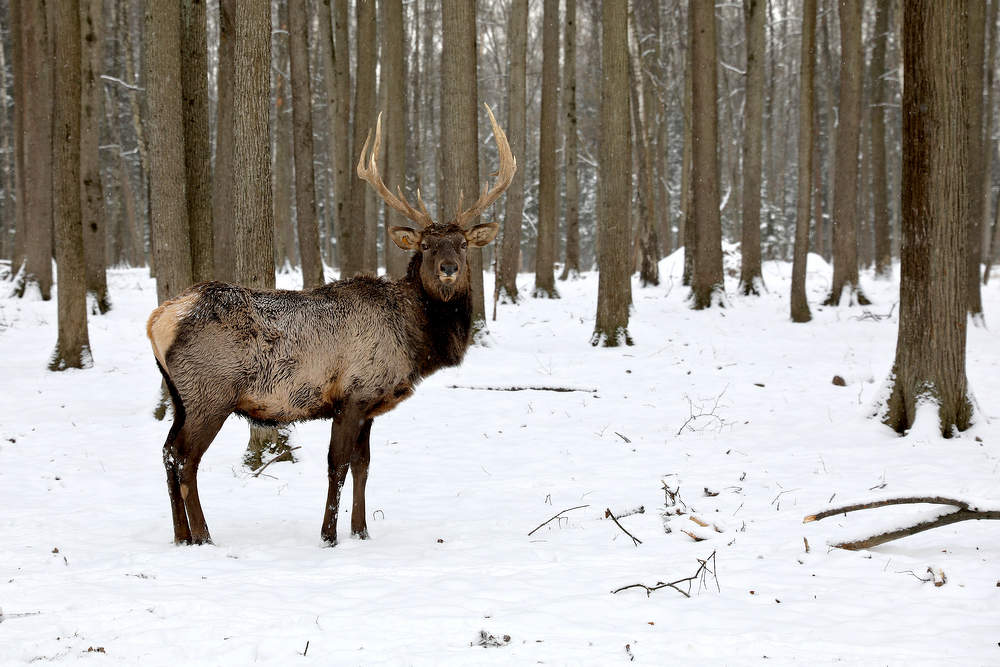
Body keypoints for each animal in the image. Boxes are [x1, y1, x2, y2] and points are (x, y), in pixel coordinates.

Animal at [147, 104, 515, 546]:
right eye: (426, 245)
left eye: (461, 243)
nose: (448, 268)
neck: (414, 341)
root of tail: (158, 319)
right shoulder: (353, 393)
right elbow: (336, 465)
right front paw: (328, 535)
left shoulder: (371, 404)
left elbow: (363, 466)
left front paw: (361, 531)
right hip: (209, 393)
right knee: (186, 458)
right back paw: (203, 536)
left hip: (181, 396)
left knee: (166, 452)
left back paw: (181, 536)